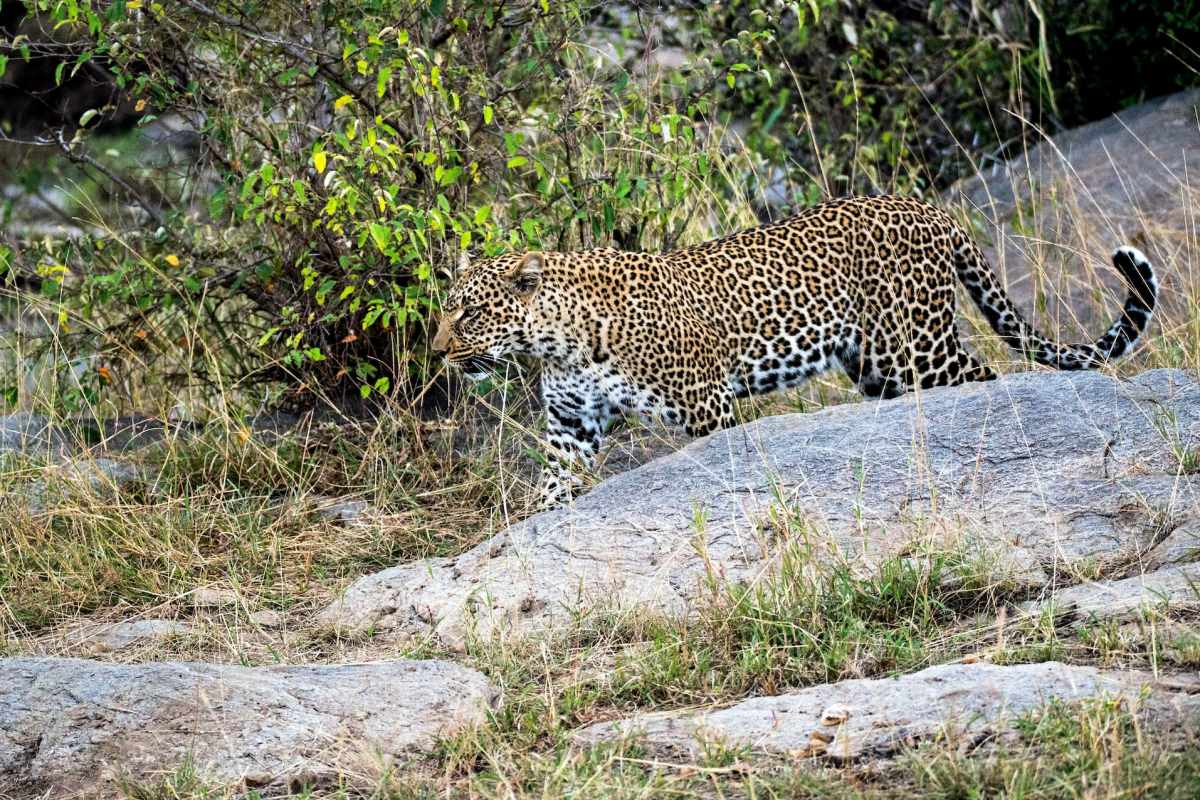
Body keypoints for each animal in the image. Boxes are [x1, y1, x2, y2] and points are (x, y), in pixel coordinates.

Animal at [432, 194, 1152, 506]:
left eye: (469, 312)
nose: (437, 353)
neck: (559, 341)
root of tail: (929, 207)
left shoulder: (706, 407)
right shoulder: (571, 426)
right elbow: (551, 488)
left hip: (914, 346)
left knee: (985, 374)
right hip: (876, 366)